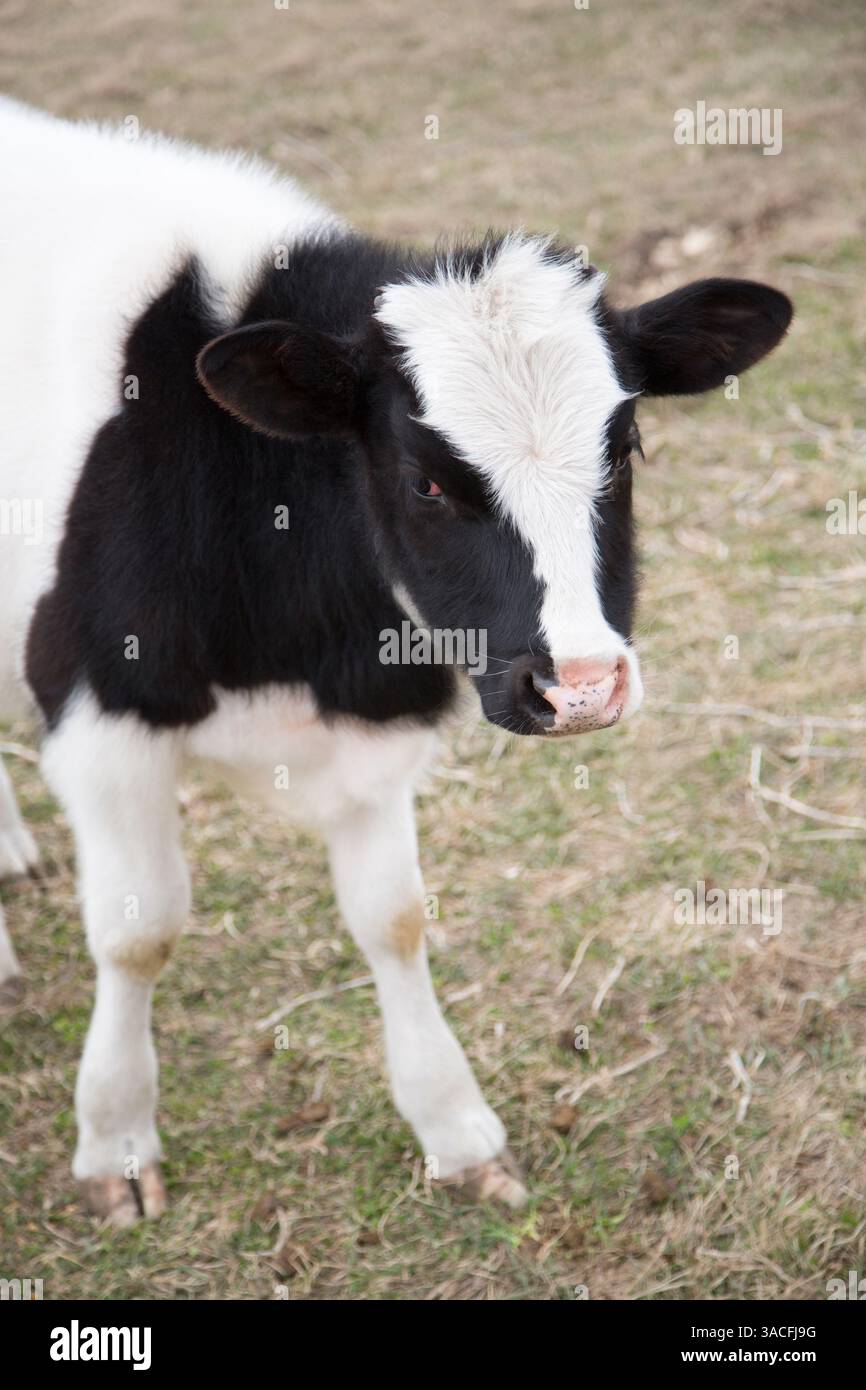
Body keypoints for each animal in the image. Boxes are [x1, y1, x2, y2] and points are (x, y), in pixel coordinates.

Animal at [0, 99, 792, 1223]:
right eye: (424, 481)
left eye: (627, 445)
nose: (584, 686)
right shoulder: (97, 717)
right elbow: (135, 932)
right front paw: (113, 1141)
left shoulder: (377, 725)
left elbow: (395, 920)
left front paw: (453, 1128)